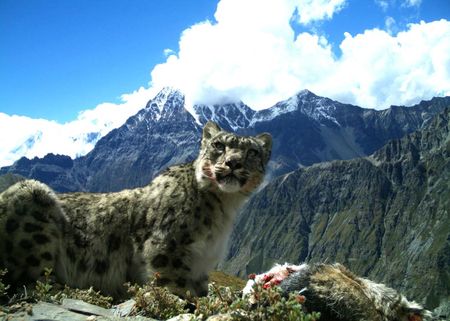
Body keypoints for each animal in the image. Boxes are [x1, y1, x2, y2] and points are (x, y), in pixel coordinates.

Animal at [0, 120, 272, 298]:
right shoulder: (167, 249)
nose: (233, 162)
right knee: (27, 281)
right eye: (218, 145)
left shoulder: (202, 267)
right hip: (33, 205)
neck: (223, 209)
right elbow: (175, 286)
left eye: (252, 151)